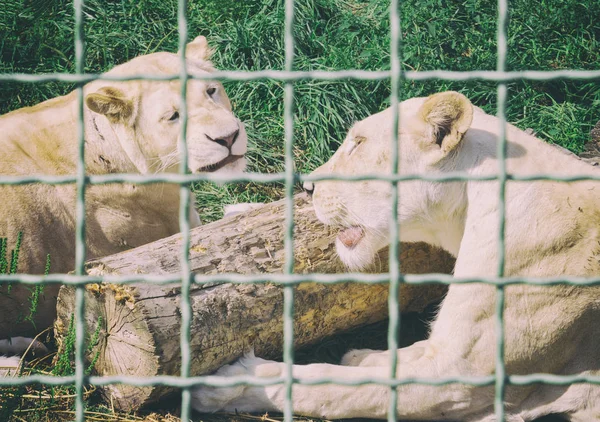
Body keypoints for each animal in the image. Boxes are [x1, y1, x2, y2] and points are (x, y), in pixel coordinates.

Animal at [193, 90, 600, 420]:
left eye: (358, 143)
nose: (306, 187)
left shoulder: (459, 380)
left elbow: (338, 390)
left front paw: (234, 383)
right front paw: (362, 357)